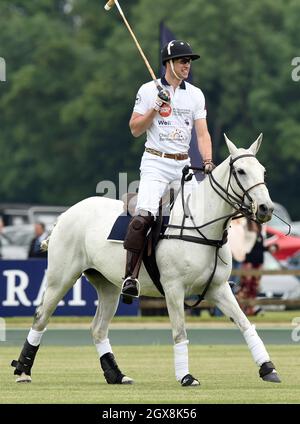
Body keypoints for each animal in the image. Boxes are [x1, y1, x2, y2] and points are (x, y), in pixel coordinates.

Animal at [9, 134, 282, 386]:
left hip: (108, 285)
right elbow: (179, 332)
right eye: (241, 171)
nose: (266, 208)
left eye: (263, 171)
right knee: (41, 316)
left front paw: (268, 368)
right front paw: (186, 376)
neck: (201, 226)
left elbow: (245, 324)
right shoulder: (174, 288)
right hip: (61, 277)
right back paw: (23, 370)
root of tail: (63, 215)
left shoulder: (218, 288)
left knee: (98, 328)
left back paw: (116, 374)